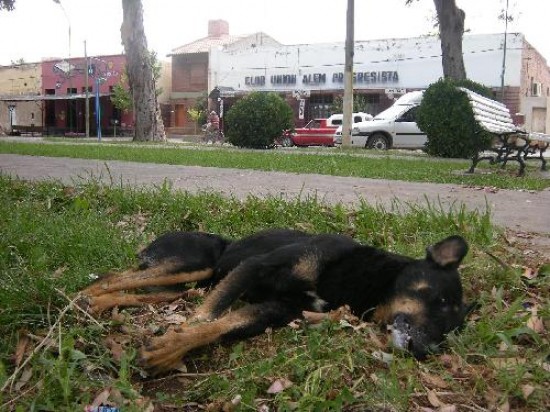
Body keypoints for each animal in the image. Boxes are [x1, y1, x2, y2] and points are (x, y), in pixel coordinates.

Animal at [80, 229, 472, 374]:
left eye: (451, 330)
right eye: (439, 299)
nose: (427, 351)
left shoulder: (276, 310)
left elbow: (219, 325)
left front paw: (172, 348)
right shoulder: (254, 267)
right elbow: (205, 318)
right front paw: (170, 344)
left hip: (191, 284)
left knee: (130, 288)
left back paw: (98, 305)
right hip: (194, 264)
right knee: (112, 277)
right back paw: (85, 298)